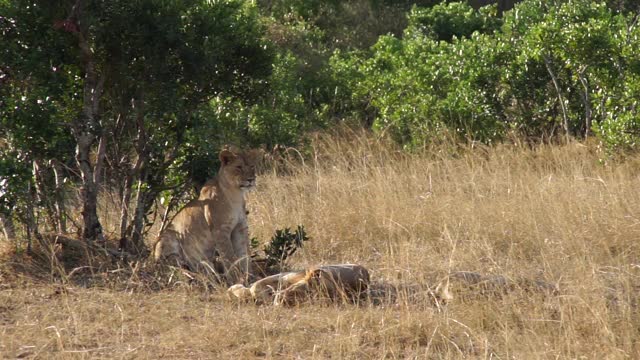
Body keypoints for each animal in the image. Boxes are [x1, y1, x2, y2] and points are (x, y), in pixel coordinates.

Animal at [154, 147, 262, 284]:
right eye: (239, 167)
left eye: (252, 166)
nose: (251, 179)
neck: (236, 194)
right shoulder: (220, 230)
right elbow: (229, 256)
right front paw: (236, 279)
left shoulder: (240, 228)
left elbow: (245, 254)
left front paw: (251, 277)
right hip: (167, 240)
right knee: (175, 269)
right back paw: (197, 276)